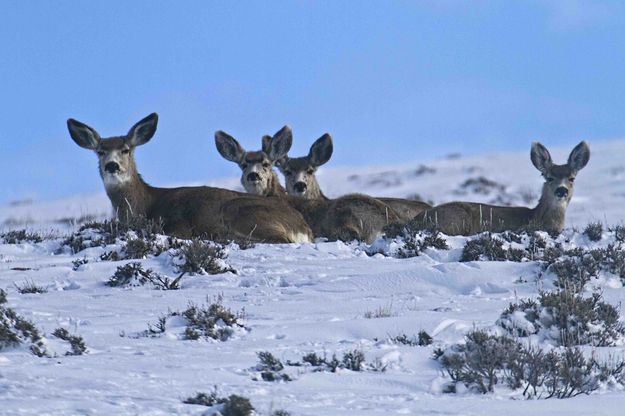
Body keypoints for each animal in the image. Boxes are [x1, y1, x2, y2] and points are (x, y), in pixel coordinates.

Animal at [67, 113, 312, 244]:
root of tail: (303, 227)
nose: (112, 165)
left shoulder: (177, 225)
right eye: (100, 151)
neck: (144, 205)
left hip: (240, 212)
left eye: (126, 150)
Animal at [410, 141, 588, 236]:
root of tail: (414, 221)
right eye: (549, 177)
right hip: (458, 220)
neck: (536, 216)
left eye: (572, 178)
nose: (561, 190)